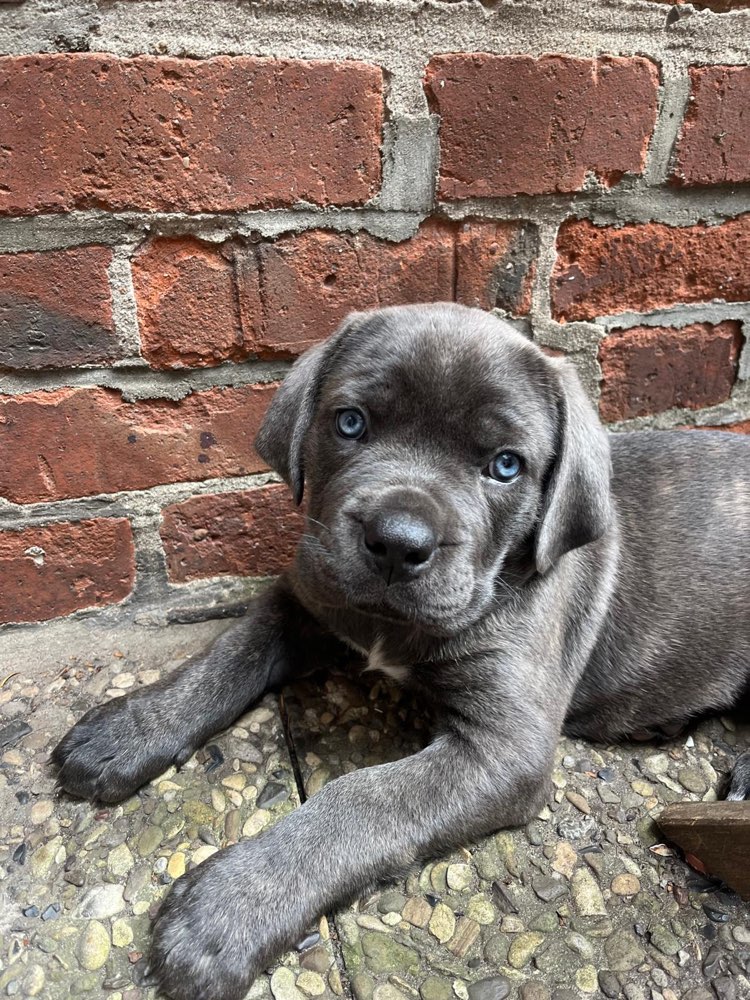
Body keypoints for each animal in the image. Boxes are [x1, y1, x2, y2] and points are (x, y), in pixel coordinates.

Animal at [54, 304, 750, 1000]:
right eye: (350, 423)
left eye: (506, 466)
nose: (396, 541)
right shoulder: (307, 594)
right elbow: (229, 652)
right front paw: (130, 728)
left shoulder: (504, 750)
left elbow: (366, 798)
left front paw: (227, 909)